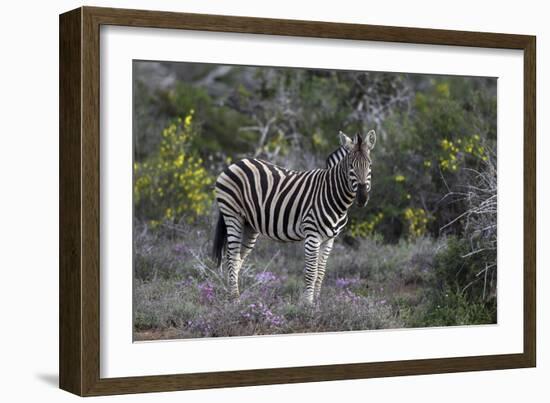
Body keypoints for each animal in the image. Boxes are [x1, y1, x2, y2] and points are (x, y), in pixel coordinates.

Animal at [213, 129, 378, 304]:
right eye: (351, 166)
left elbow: (321, 272)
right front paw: (307, 304)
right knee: (231, 256)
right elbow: (311, 272)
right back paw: (234, 299)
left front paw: (316, 302)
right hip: (232, 215)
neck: (333, 196)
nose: (362, 198)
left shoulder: (329, 240)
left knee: (238, 258)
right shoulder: (312, 235)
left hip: (249, 225)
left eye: (370, 165)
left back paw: (234, 295)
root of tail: (238, 162)